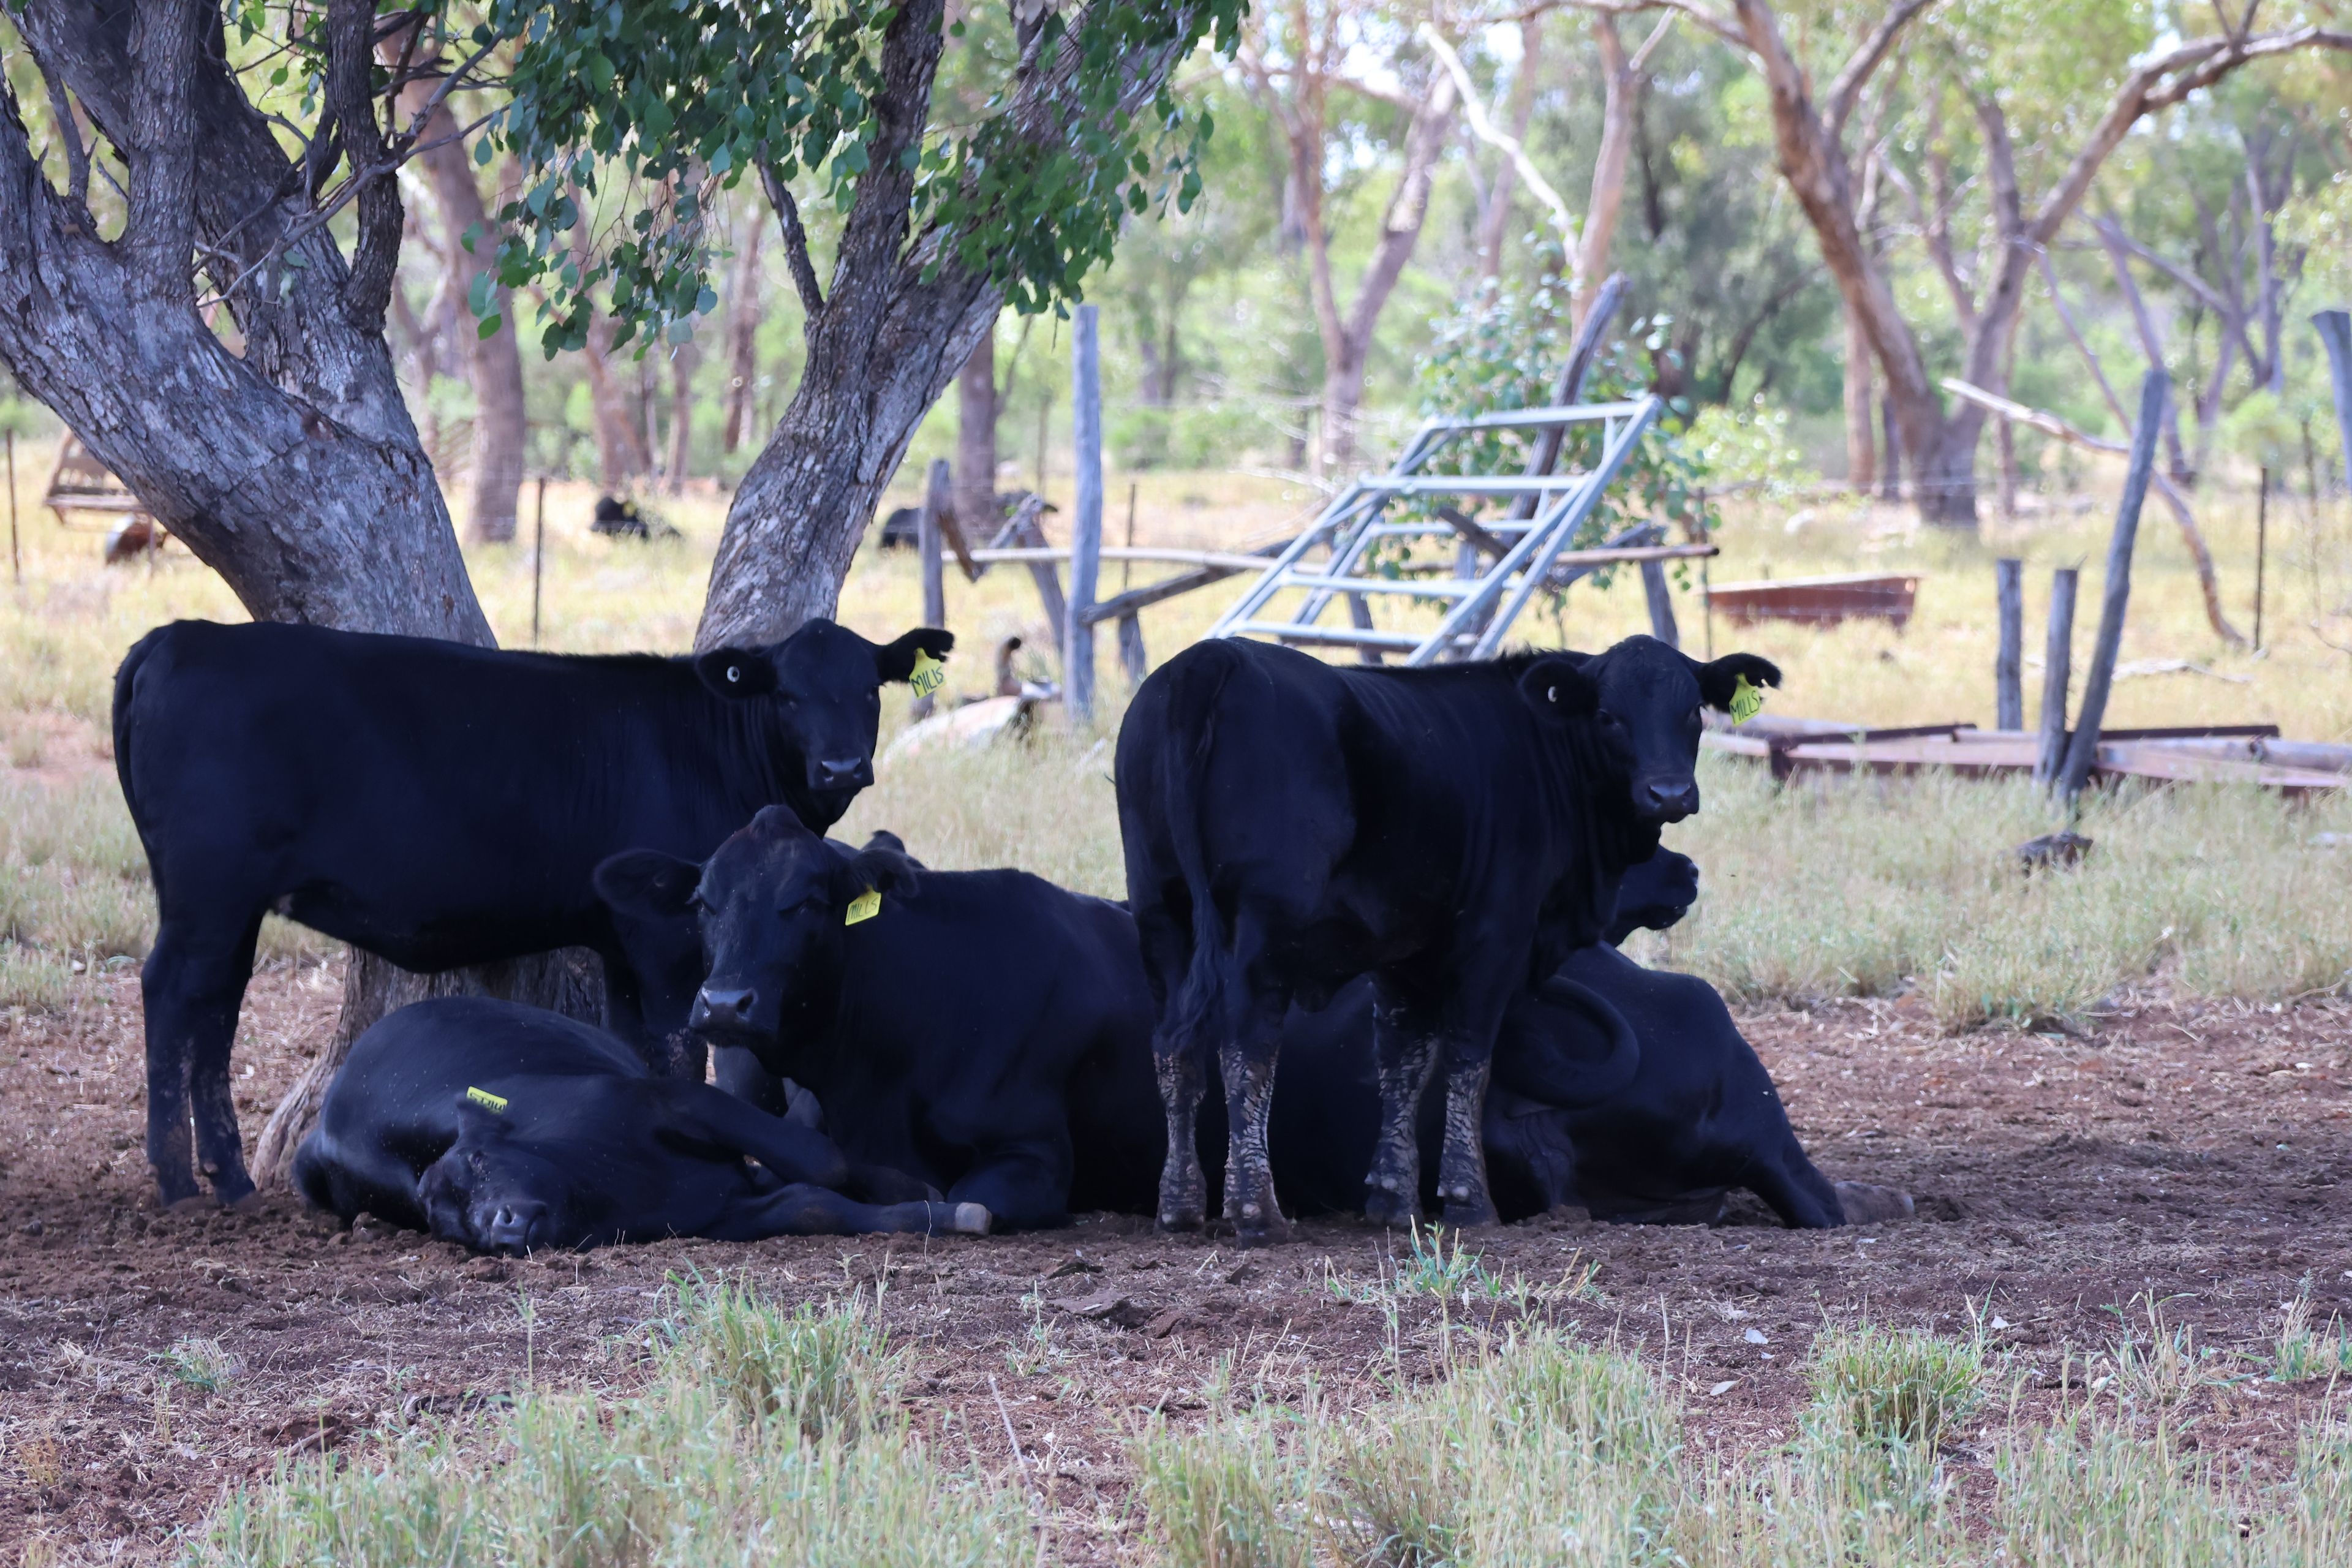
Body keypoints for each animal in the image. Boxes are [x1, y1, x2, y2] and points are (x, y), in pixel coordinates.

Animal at [110, 611, 955, 1204]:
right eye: (787, 692)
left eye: (870, 688)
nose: (841, 765)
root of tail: (178, 635)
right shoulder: (669, 937)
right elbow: (682, 1048)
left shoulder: (621, 940)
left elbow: (638, 1043)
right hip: (210, 892)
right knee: (173, 992)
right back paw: (179, 1181)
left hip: (229, 905)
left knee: (216, 1006)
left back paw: (230, 1177)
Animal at [298, 1001, 987, 1260]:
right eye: (449, 1225)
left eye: (480, 1163)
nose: (500, 1226)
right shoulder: (718, 1215)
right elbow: (814, 1203)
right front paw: (936, 1214)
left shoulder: (669, 1099)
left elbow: (822, 1161)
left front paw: (915, 1189)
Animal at [1110, 630, 1768, 1241]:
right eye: (1609, 714)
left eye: (1693, 710)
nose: (1670, 793)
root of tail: (1214, 656)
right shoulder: (1495, 938)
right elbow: (1469, 1059)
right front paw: (1468, 1201)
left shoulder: (1405, 951)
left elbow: (1404, 1060)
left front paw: (1393, 1199)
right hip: (1263, 925)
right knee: (1247, 1046)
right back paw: (1257, 1212)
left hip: (1160, 911)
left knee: (1173, 1046)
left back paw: (1179, 1205)